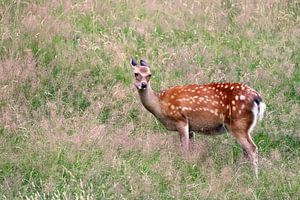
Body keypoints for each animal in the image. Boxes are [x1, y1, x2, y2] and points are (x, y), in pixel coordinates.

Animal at [130, 57, 266, 178]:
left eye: (149, 74)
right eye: (136, 74)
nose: (143, 85)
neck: (160, 104)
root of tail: (257, 99)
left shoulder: (180, 120)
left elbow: (184, 149)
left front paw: (183, 167)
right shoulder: (191, 127)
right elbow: (192, 148)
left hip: (239, 124)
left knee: (252, 148)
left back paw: (255, 178)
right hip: (244, 127)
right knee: (246, 150)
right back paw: (240, 173)